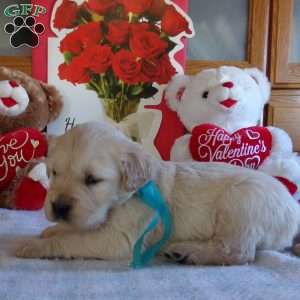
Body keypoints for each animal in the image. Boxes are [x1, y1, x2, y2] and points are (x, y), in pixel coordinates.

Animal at [15, 122, 300, 264]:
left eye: (92, 180)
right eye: (54, 172)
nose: (59, 207)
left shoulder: (120, 238)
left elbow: (74, 240)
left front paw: (34, 244)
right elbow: (74, 229)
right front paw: (53, 229)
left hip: (242, 201)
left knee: (239, 252)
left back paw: (190, 253)